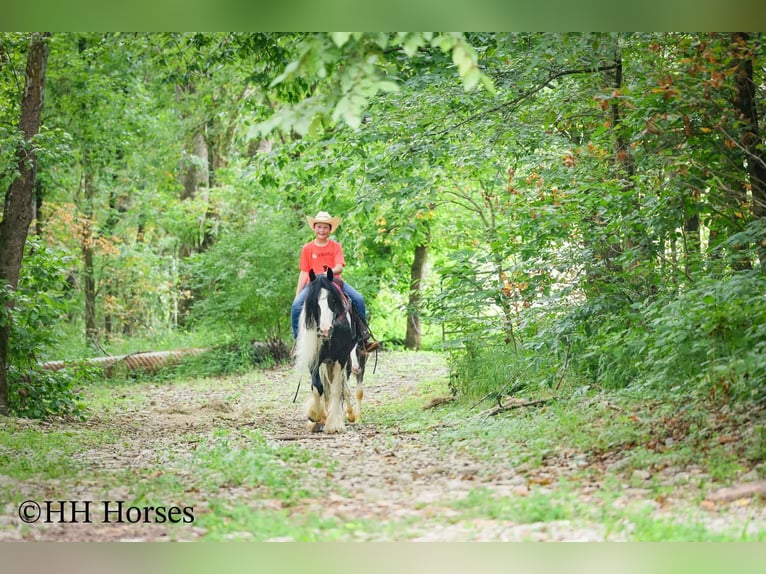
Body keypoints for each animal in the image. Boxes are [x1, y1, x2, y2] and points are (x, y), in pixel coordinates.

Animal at [294, 268, 365, 433]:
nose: (325, 330)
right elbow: (317, 387)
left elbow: (336, 389)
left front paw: (334, 424)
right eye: (314, 302)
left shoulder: (341, 357)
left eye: (333, 300)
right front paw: (315, 416)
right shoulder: (314, 358)